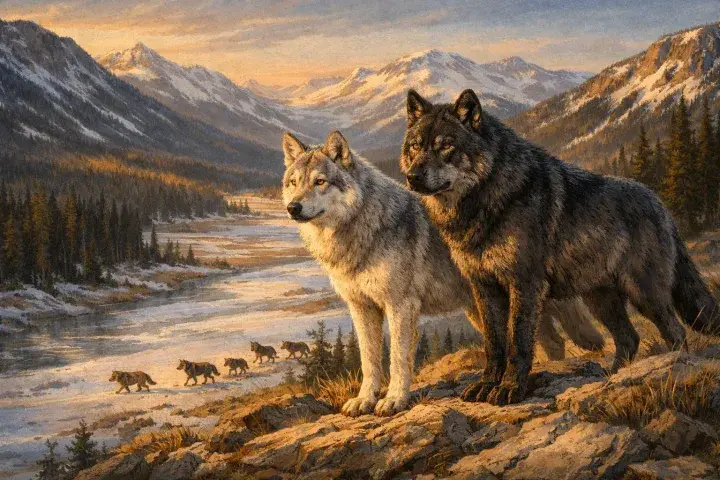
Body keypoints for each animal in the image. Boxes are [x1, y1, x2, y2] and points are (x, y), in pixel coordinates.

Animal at [281, 130, 604, 416]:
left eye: (320, 182)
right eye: (293, 183)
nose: (293, 207)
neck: (361, 231)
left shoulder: (400, 307)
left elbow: (397, 359)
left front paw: (394, 400)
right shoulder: (361, 308)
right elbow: (369, 361)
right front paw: (364, 401)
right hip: (486, 310)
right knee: (550, 342)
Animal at [401, 88, 720, 406]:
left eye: (446, 146)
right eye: (416, 146)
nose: (412, 177)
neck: (484, 202)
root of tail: (662, 205)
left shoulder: (525, 284)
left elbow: (518, 342)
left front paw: (509, 389)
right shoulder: (483, 287)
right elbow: (494, 344)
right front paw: (486, 385)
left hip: (644, 293)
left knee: (675, 331)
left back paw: (671, 366)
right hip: (600, 300)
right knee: (629, 338)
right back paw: (612, 377)